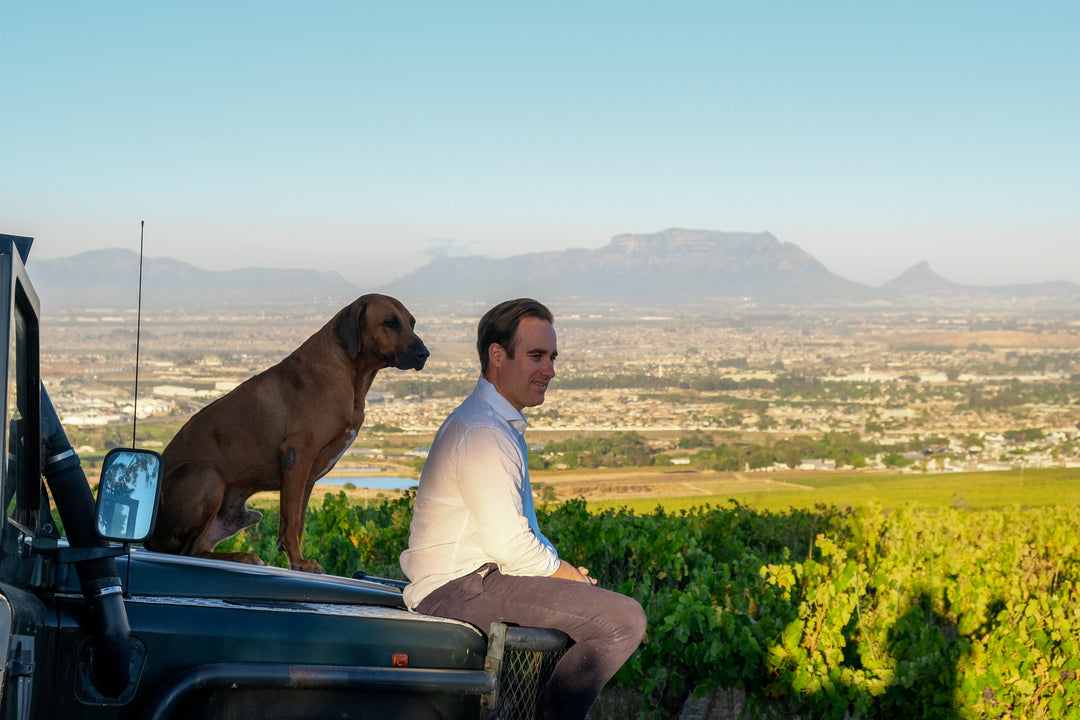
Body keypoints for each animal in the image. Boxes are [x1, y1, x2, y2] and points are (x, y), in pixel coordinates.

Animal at [144, 293, 429, 574]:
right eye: (390, 323)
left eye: (412, 323)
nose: (424, 354)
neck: (347, 372)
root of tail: (151, 539)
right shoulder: (297, 457)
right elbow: (291, 521)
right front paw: (300, 562)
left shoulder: (308, 477)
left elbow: (297, 522)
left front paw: (296, 561)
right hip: (207, 475)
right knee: (191, 551)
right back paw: (243, 557)